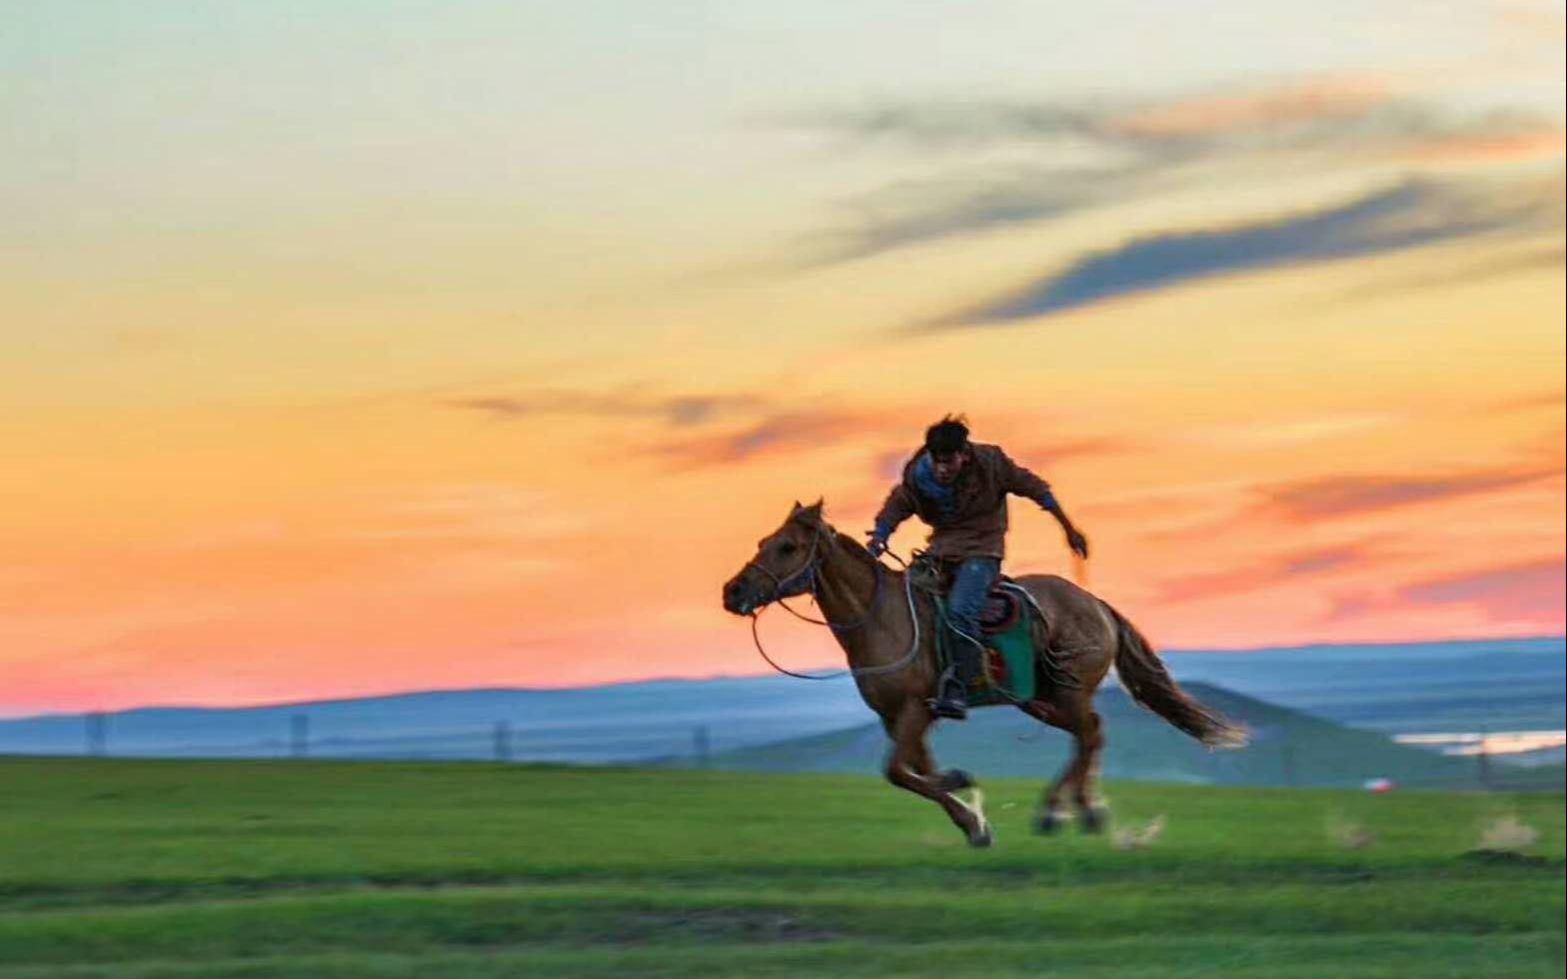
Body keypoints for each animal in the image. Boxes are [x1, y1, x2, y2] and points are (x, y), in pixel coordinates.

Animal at [720, 501, 1247, 845]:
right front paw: (972, 818)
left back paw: (1057, 812)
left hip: (1067, 693)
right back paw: (1083, 810)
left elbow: (897, 771)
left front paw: (965, 798)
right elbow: (918, 772)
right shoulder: (900, 718)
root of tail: (1096, 605)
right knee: (1089, 735)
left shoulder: (914, 709)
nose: (733, 591)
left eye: (788, 547)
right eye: (765, 542)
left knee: (1090, 733)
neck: (881, 617)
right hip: (1042, 699)